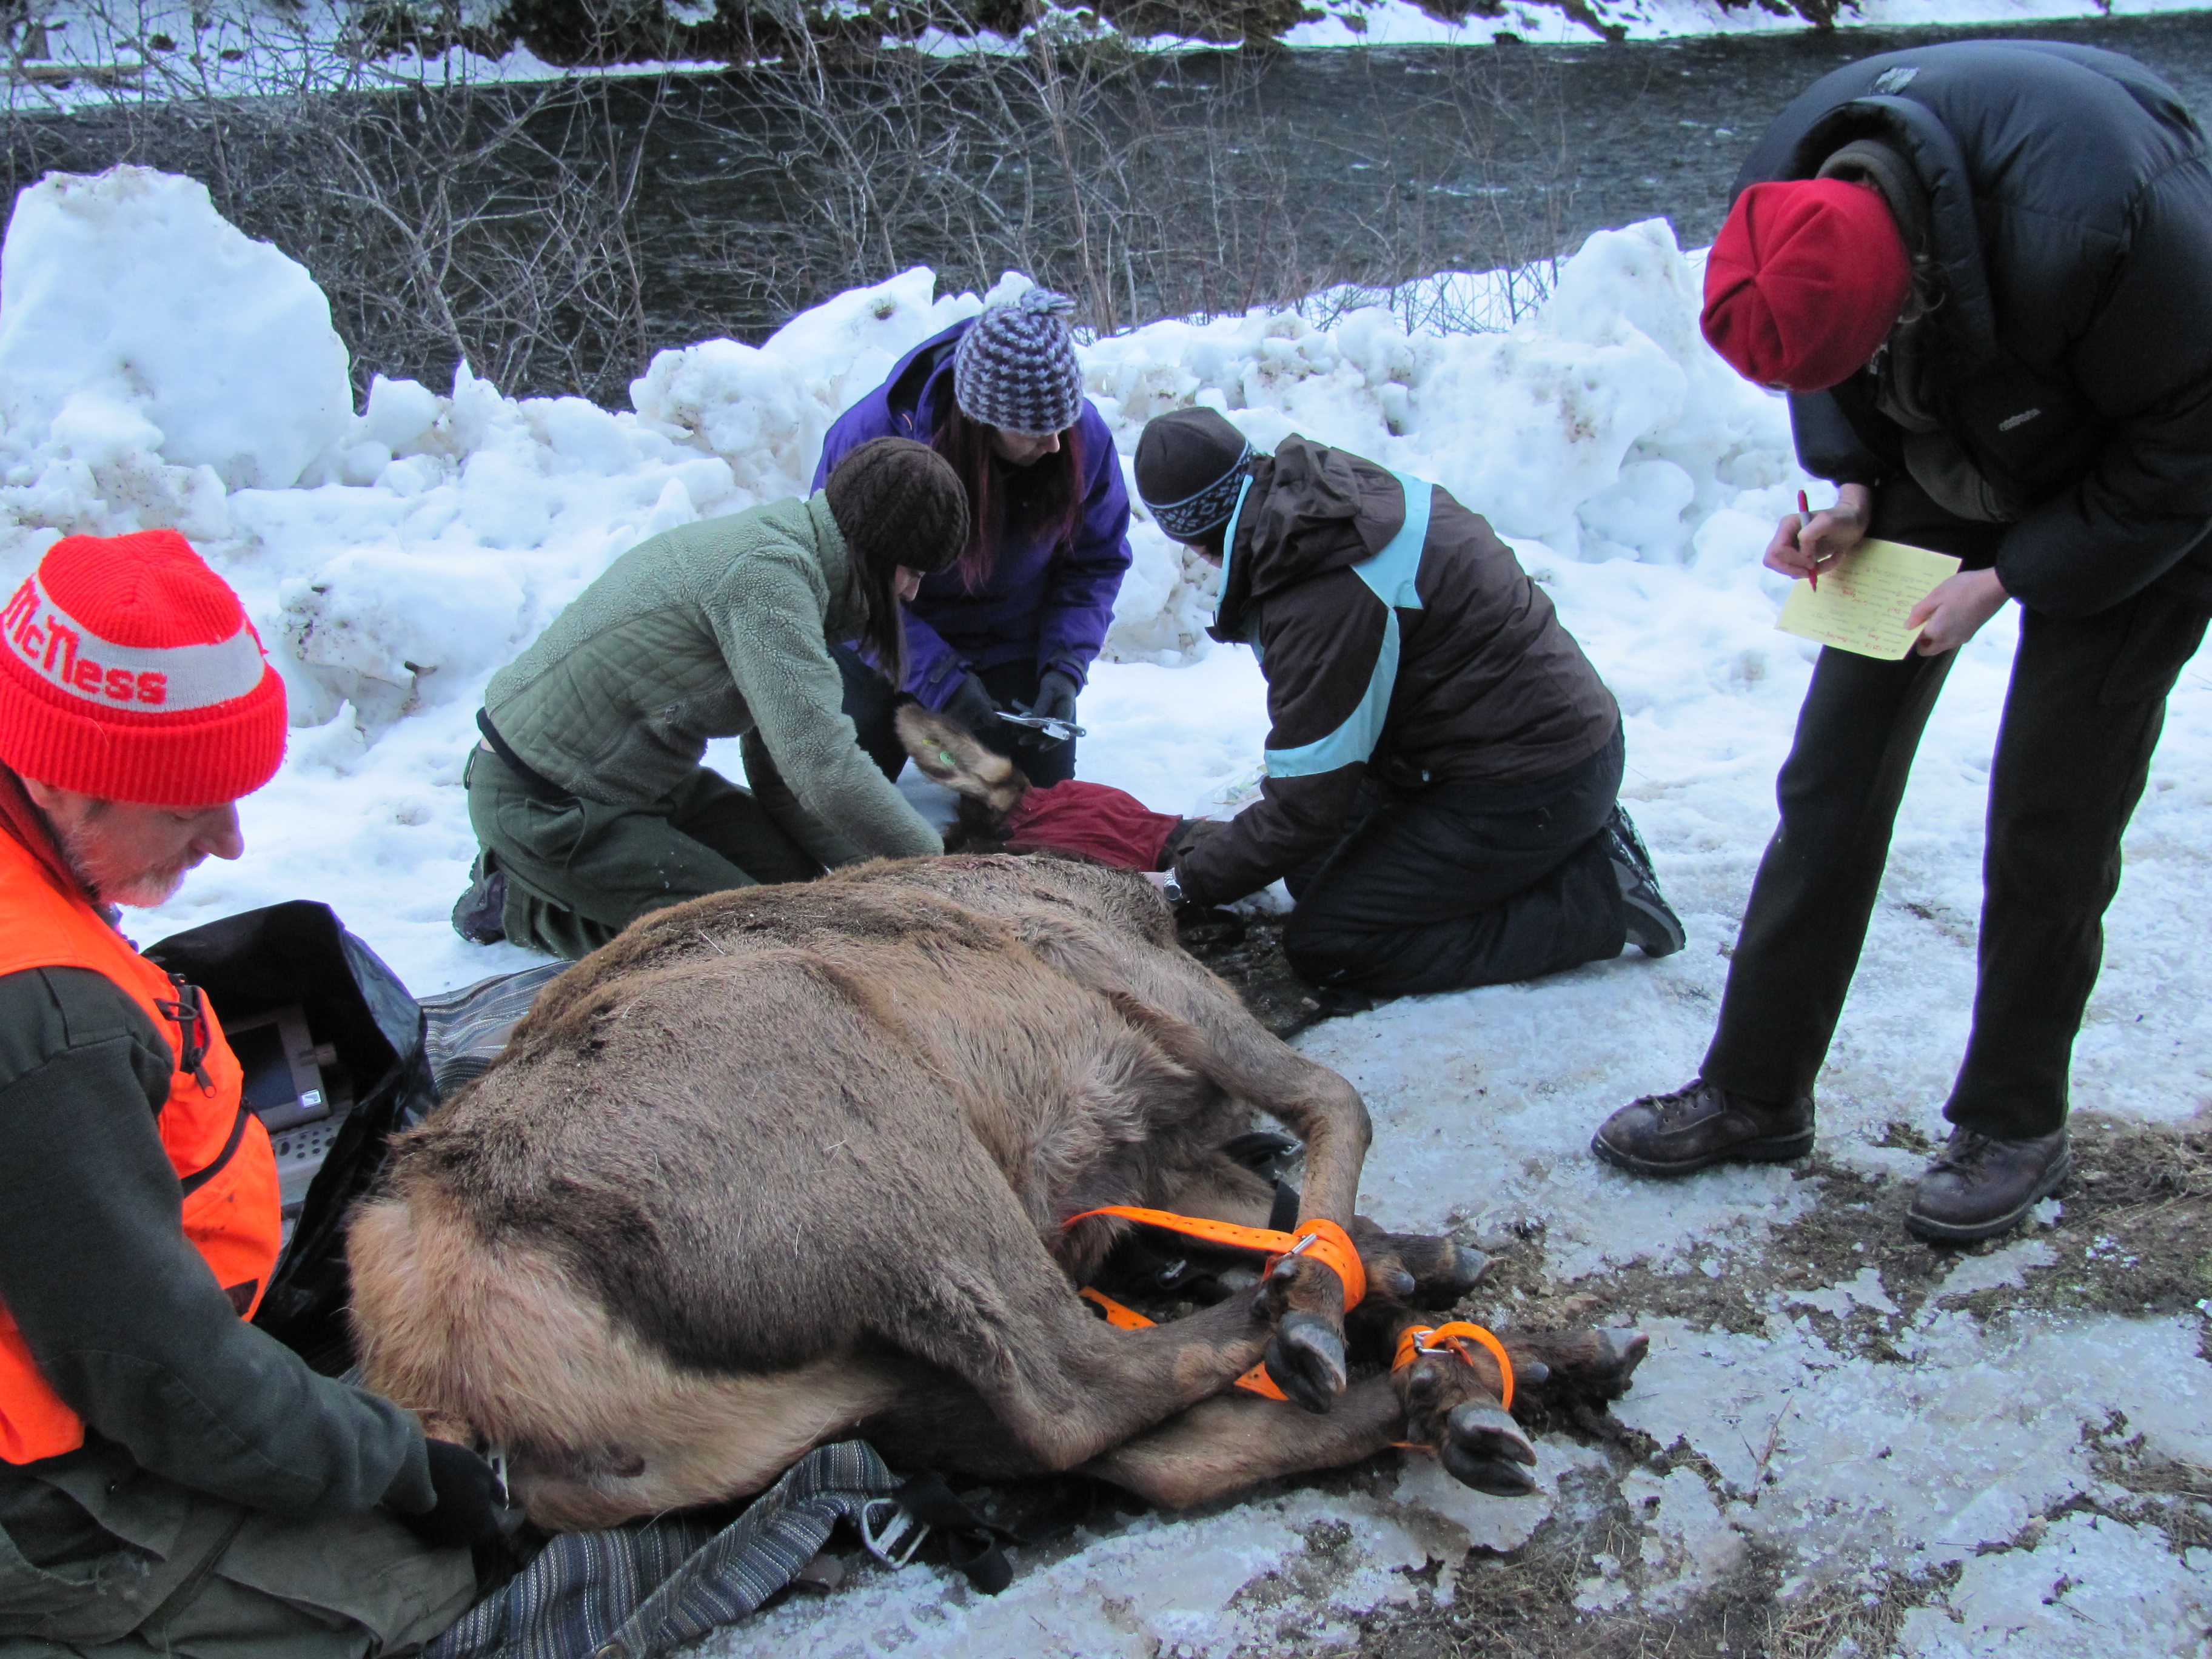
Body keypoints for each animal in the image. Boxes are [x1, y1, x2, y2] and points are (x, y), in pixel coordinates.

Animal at [354, 858, 1654, 1530]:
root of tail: (438, 1346)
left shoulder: (1148, 1158)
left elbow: (1272, 1192)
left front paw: (1406, 1266)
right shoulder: (1133, 993)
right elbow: (1336, 1105)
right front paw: (1375, 1275)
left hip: (859, 1390)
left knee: (1156, 1449)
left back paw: (1477, 1380)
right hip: (853, 1111)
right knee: (1072, 1381)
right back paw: (1331, 1329)